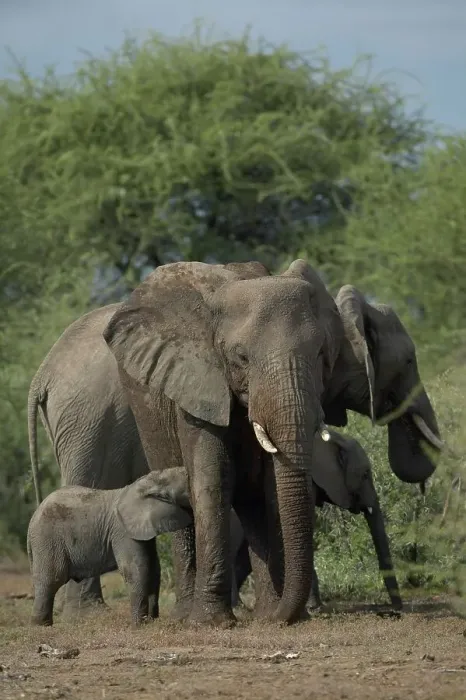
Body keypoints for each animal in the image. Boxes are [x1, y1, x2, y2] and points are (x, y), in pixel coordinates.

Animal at [27, 469, 193, 626]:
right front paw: (139, 625)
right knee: (51, 578)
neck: (143, 484)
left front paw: (151, 621)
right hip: (47, 539)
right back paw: (41, 626)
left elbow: (153, 567)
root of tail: (32, 519)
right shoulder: (122, 531)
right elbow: (135, 568)